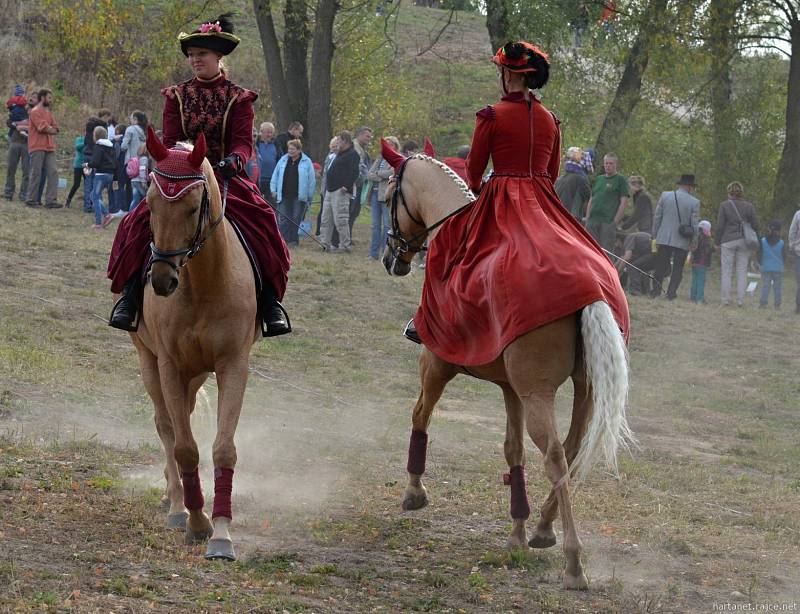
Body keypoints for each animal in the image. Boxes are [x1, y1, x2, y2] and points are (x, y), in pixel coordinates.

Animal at [126, 130, 260, 564]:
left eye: (190, 207)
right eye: (149, 203)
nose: (161, 280)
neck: (202, 282)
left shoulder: (233, 365)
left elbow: (223, 449)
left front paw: (222, 534)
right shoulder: (169, 365)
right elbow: (184, 446)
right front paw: (197, 522)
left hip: (197, 371)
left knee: (181, 413)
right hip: (149, 361)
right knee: (166, 424)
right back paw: (174, 503)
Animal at [380, 150, 632, 592]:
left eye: (389, 195)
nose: (391, 258)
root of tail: (592, 289)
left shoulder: (436, 362)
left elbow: (420, 415)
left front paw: (414, 491)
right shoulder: (509, 388)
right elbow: (513, 451)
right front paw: (517, 530)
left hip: (537, 393)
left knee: (555, 457)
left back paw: (574, 562)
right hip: (581, 391)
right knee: (570, 450)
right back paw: (544, 529)